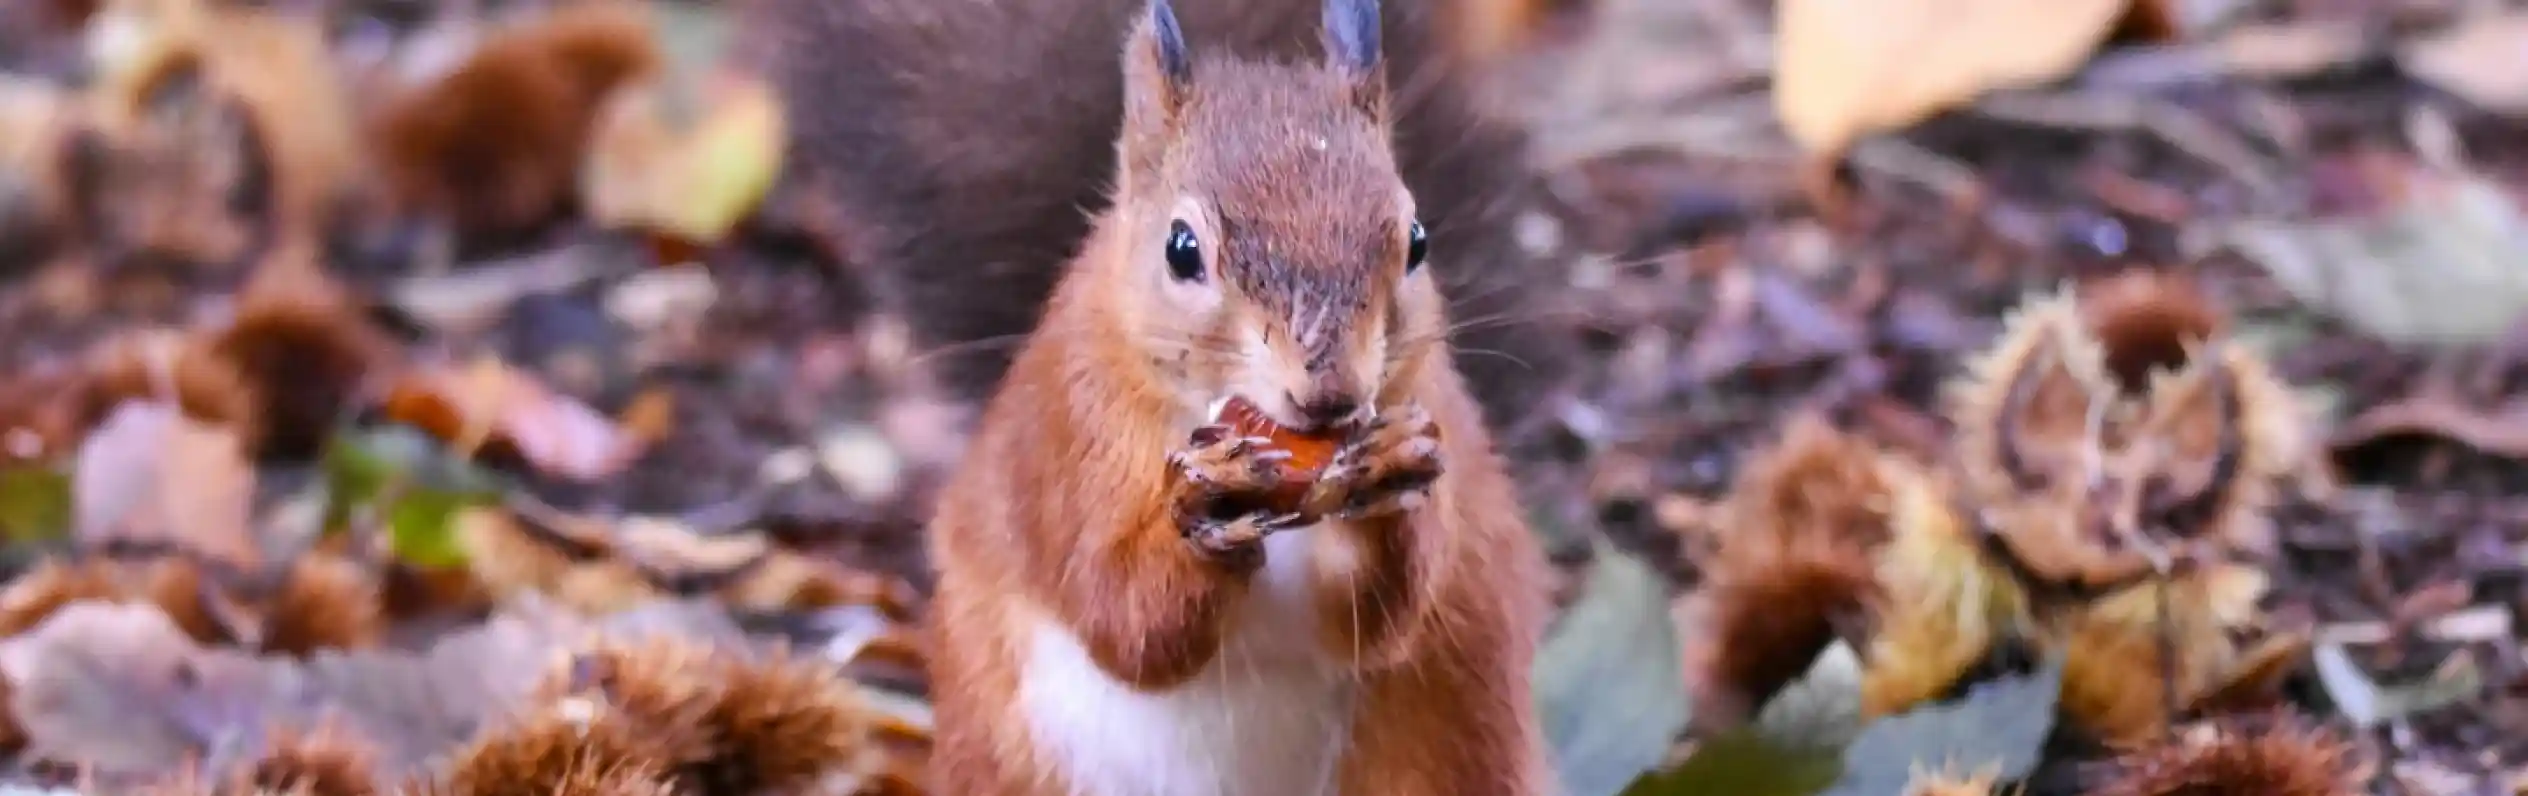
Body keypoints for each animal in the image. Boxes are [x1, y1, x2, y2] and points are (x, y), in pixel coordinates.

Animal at [901, 0, 1554, 793]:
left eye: (1419, 241)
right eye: (1181, 249)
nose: (1330, 393)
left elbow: (1381, 618)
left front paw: (1392, 471)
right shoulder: (1069, 442)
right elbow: (1121, 614)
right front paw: (1209, 506)